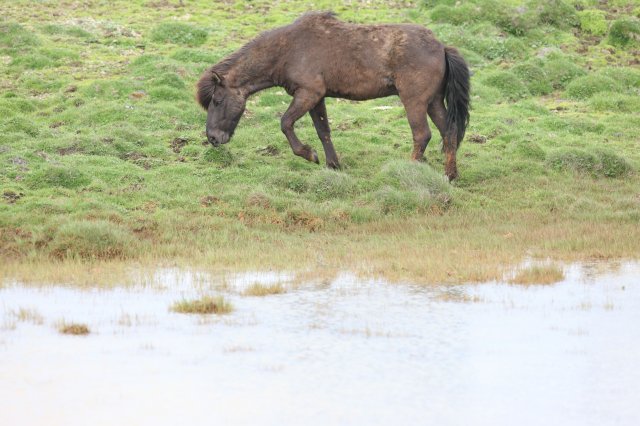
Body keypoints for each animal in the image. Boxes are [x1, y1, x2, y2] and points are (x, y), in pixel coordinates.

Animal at [198, 12, 472, 180]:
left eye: (217, 101)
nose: (212, 138)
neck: (289, 49)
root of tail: (441, 47)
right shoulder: (317, 98)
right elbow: (324, 131)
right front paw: (333, 164)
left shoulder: (308, 94)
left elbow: (285, 123)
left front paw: (309, 154)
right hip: (433, 102)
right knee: (449, 133)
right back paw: (449, 175)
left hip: (414, 101)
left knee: (422, 135)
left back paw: (408, 170)